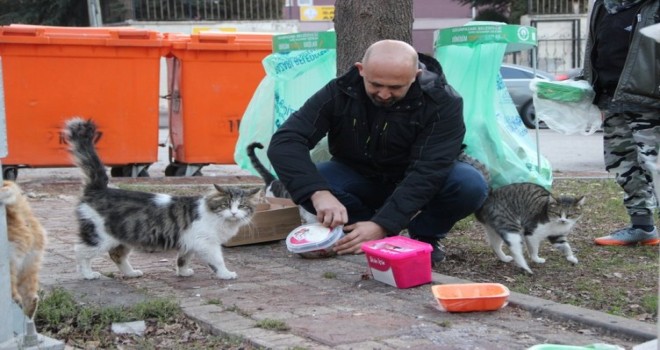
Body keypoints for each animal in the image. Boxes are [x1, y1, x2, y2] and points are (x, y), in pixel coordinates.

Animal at [64, 119, 260, 280]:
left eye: (242, 206)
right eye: (226, 204)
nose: (234, 213)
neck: (218, 218)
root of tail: (99, 189)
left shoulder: (190, 242)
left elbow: (183, 259)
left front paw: (183, 272)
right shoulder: (207, 243)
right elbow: (218, 261)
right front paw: (226, 274)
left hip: (125, 236)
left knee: (117, 255)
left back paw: (131, 273)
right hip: (99, 237)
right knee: (80, 252)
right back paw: (88, 274)